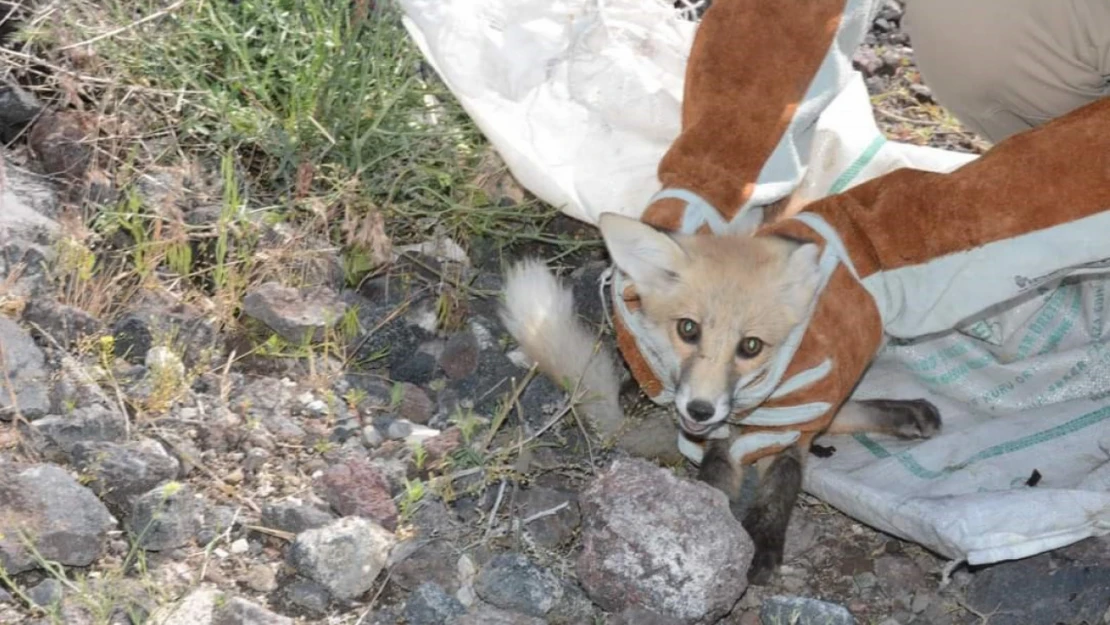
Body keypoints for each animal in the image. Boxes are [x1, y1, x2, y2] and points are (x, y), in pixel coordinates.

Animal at [499, 212, 941, 586]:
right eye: (688, 329)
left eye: (751, 346)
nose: (699, 410)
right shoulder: (721, 439)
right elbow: (713, 483)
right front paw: (712, 533)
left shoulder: (793, 427)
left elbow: (777, 494)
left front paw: (761, 548)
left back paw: (909, 413)